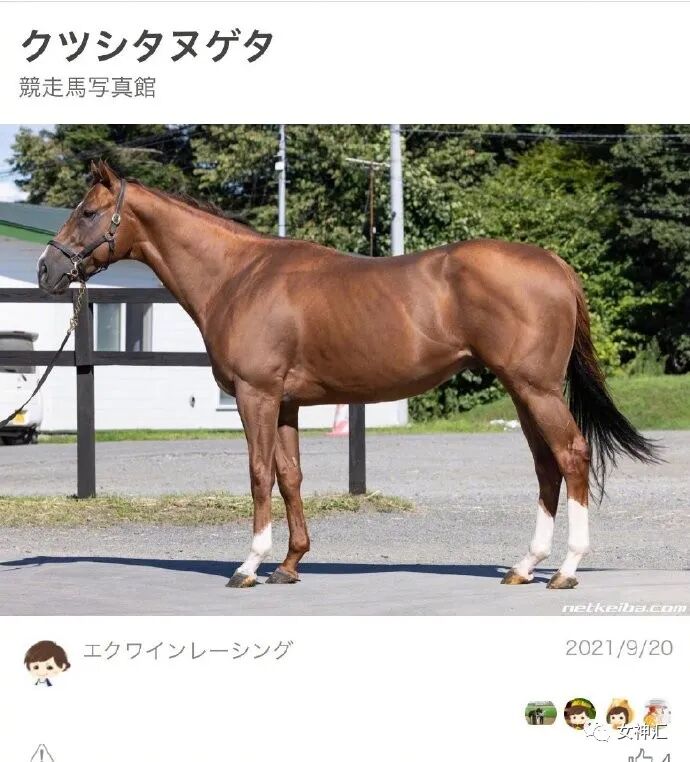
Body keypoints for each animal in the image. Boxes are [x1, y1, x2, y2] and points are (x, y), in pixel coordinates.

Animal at [37, 160, 658, 590]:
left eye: (88, 212)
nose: (47, 269)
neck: (240, 275)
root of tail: (555, 264)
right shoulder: (285, 403)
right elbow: (290, 476)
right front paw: (290, 563)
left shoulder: (256, 397)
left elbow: (258, 474)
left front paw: (249, 564)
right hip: (523, 391)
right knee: (546, 466)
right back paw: (524, 566)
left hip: (536, 388)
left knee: (571, 455)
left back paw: (566, 569)